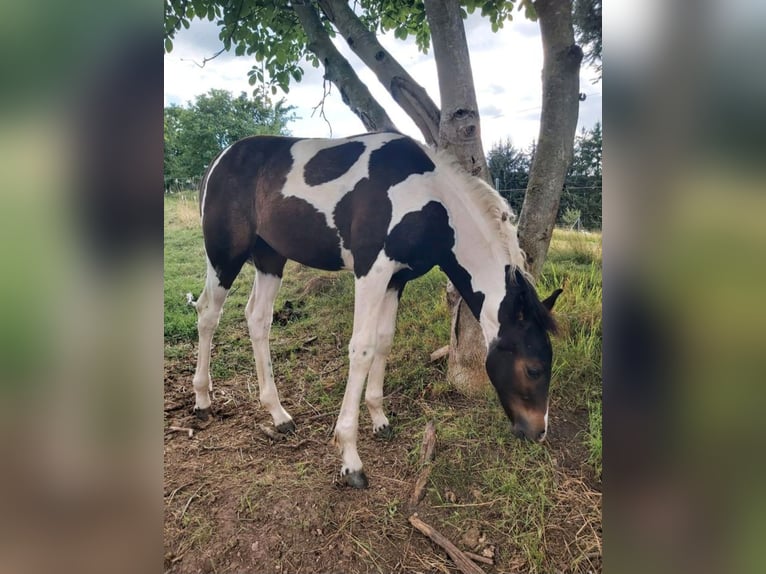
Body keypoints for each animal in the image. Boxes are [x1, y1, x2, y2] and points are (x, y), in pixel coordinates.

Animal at [192, 133, 564, 488]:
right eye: (533, 369)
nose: (538, 431)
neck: (429, 198)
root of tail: (221, 158)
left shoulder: (396, 279)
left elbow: (384, 341)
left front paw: (379, 418)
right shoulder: (372, 271)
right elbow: (362, 349)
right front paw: (351, 459)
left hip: (270, 257)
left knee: (258, 318)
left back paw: (278, 414)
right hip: (224, 255)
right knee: (208, 313)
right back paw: (202, 401)